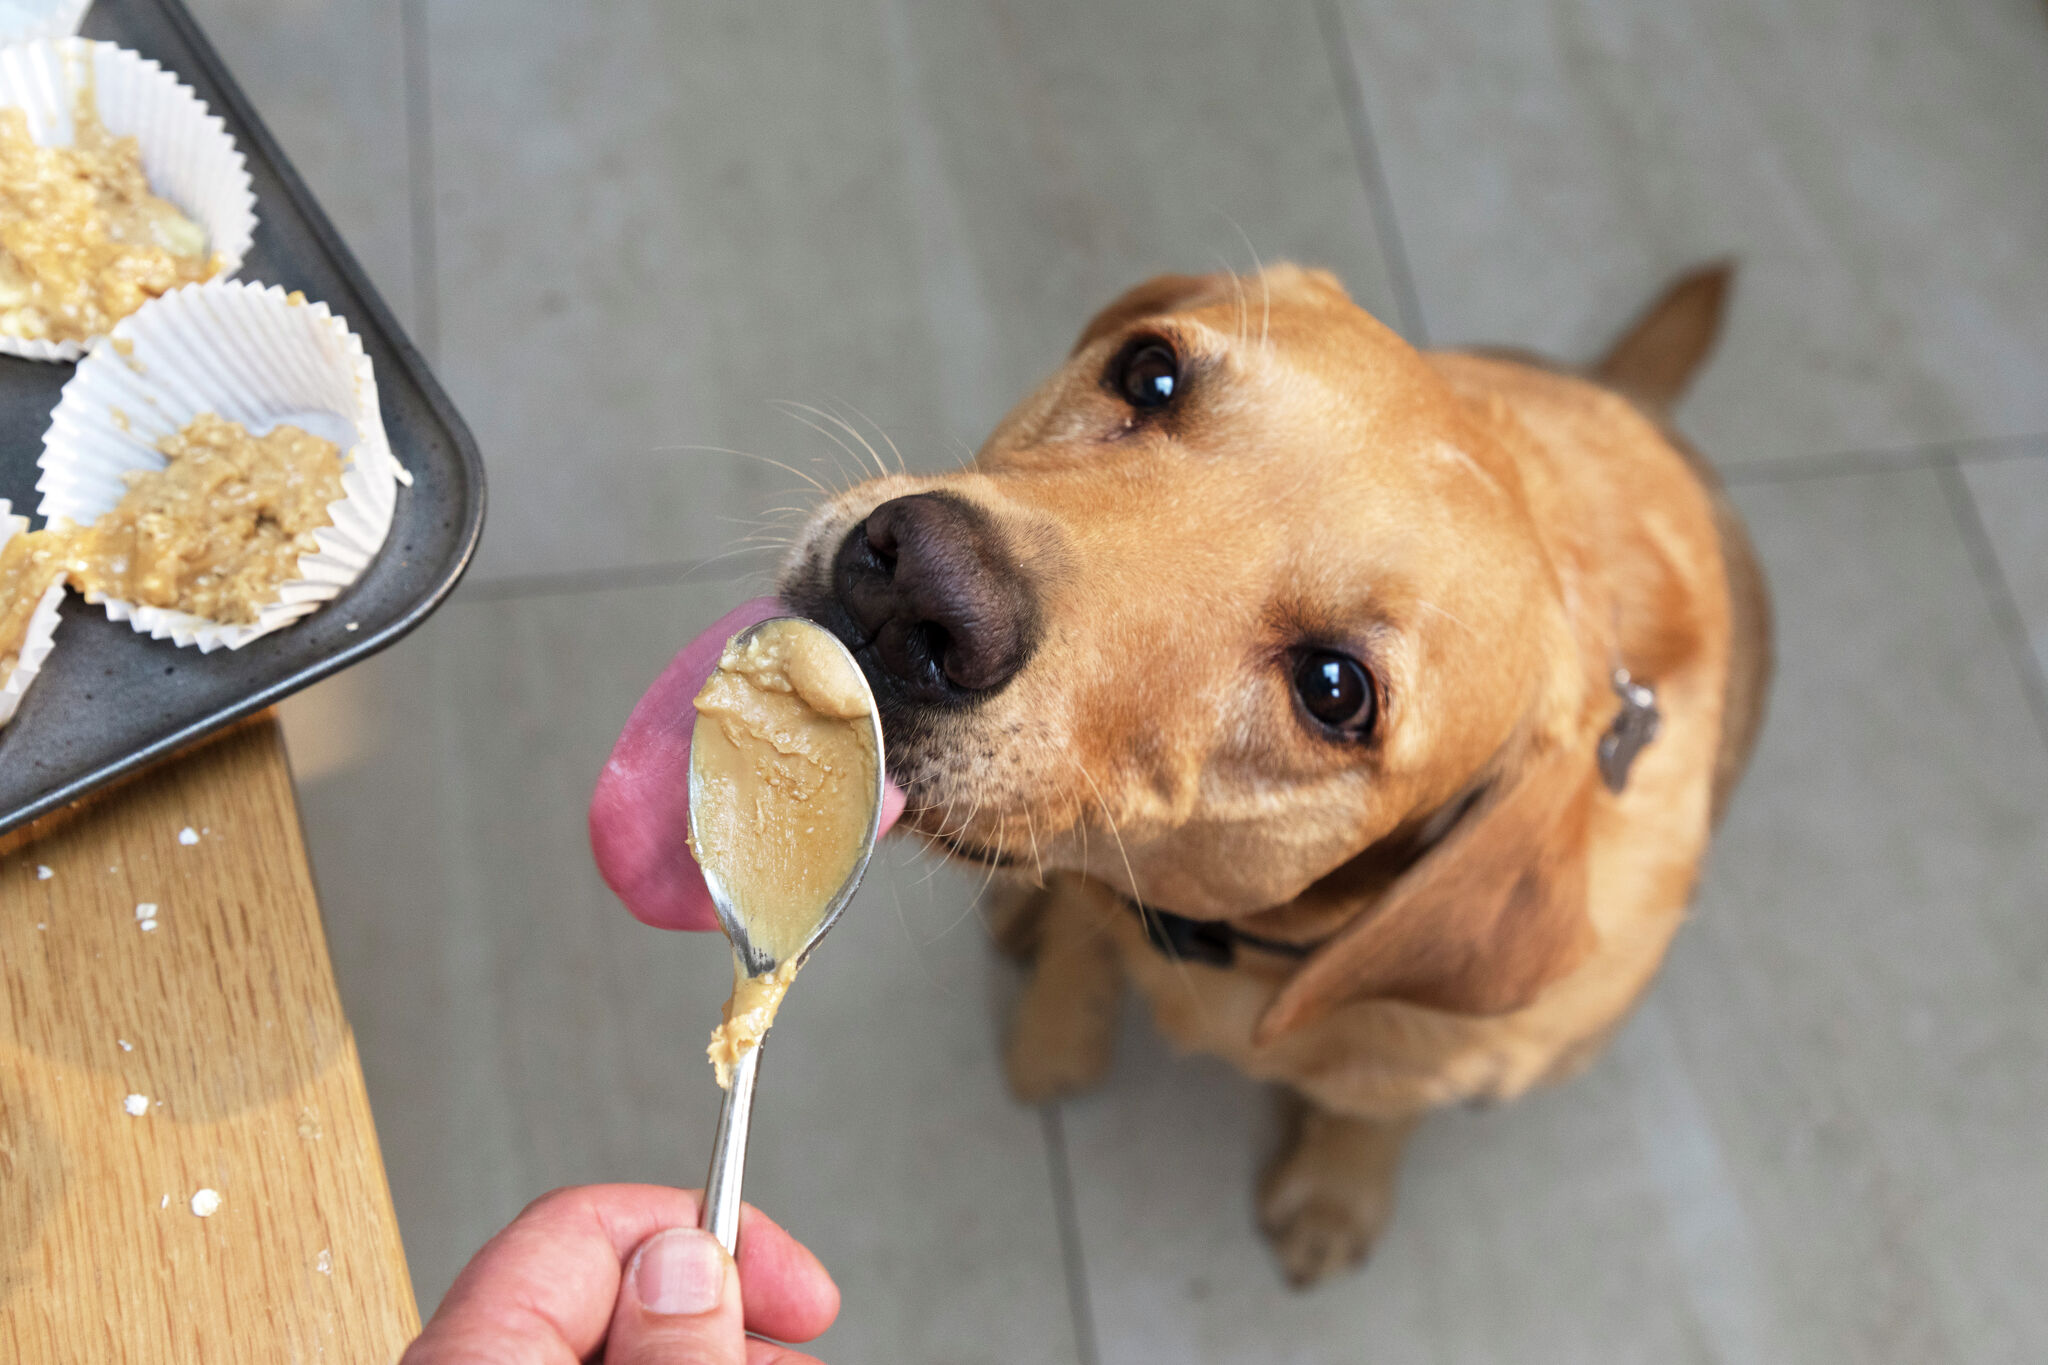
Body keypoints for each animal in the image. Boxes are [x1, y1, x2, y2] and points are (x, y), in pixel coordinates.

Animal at [774, 261, 1769, 1285]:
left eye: (1334, 689)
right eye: (1150, 373)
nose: (917, 587)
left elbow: (1373, 1109)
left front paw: (1335, 1191)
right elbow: (1082, 942)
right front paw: (1057, 1027)